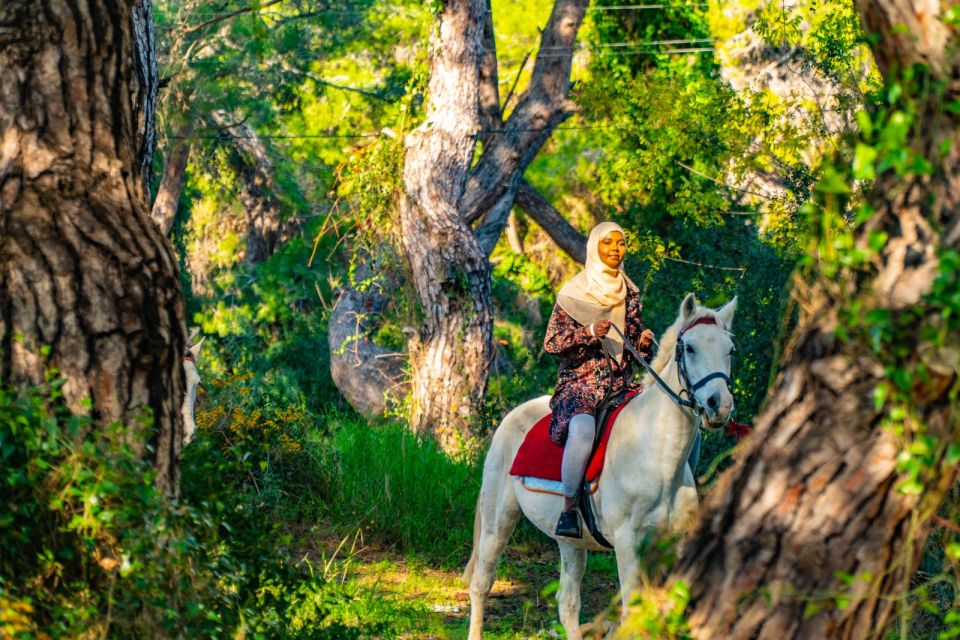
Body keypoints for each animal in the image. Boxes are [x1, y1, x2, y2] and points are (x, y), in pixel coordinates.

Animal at [463, 294, 737, 639]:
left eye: (730, 350)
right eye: (689, 348)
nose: (719, 405)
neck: (656, 457)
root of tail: (511, 417)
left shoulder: (672, 548)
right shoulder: (627, 543)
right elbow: (633, 612)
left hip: (570, 541)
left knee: (567, 602)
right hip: (498, 521)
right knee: (481, 584)